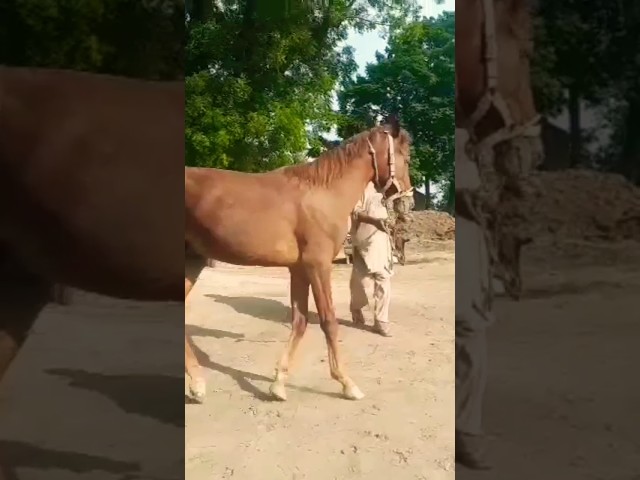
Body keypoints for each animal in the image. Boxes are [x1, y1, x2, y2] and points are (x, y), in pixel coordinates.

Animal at [184, 119, 416, 402]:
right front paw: (347, 383)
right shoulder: (318, 266)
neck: (324, 192)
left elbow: (300, 321)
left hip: (192, 262)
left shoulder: (299, 270)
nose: (408, 203)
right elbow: (328, 322)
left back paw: (197, 384)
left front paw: (278, 384)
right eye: (406, 157)